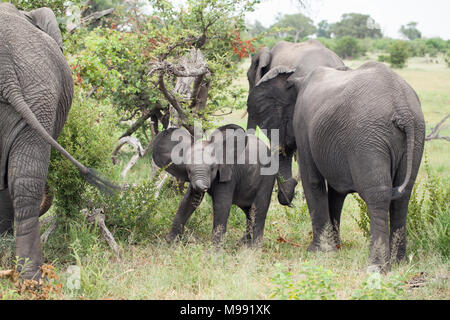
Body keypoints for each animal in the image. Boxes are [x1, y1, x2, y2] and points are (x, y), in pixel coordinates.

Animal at [248, 60, 428, 272]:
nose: (288, 200)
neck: (296, 77)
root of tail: (402, 108)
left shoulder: (303, 125)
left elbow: (312, 181)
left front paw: (318, 251)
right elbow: (336, 193)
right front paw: (335, 247)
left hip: (368, 139)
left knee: (378, 196)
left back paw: (376, 267)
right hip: (415, 136)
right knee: (403, 197)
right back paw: (398, 261)